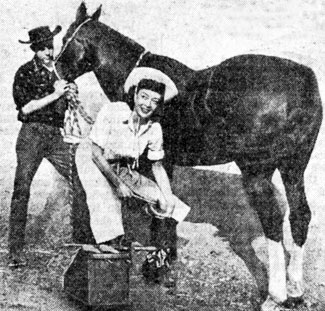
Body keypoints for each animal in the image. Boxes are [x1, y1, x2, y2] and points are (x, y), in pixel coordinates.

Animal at [55, 3, 322, 310]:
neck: (139, 79)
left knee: (272, 220)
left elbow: (160, 214)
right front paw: (164, 260)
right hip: (294, 168)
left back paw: (275, 295)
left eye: (67, 38)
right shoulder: (166, 163)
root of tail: (301, 85)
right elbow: (166, 209)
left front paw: (156, 265)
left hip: (258, 172)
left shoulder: (154, 162)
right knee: (300, 215)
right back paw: (296, 290)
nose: (55, 71)